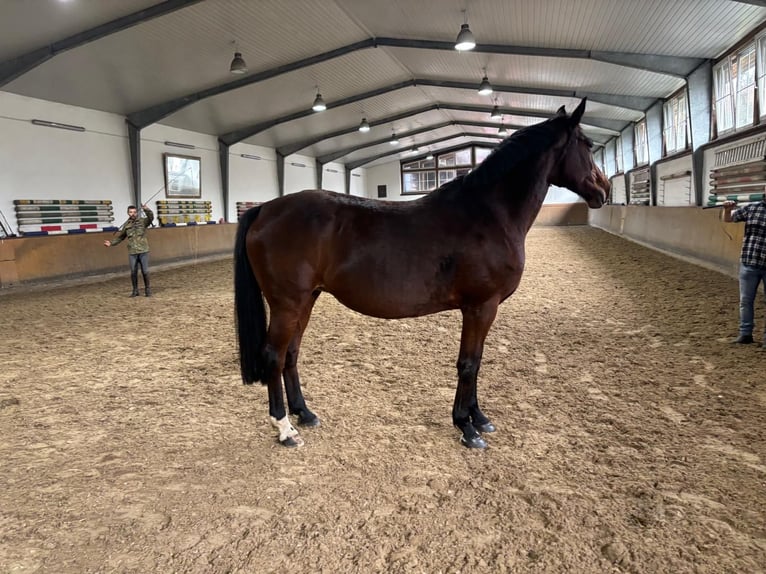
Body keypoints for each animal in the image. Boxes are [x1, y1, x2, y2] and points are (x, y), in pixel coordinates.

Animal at [234, 98, 610, 449]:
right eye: (587, 144)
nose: (604, 190)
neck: (488, 214)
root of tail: (265, 209)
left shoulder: (481, 309)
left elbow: (476, 361)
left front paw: (479, 418)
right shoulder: (481, 307)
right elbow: (468, 363)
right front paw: (467, 427)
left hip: (307, 300)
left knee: (290, 354)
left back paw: (305, 413)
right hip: (287, 304)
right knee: (273, 356)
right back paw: (285, 429)